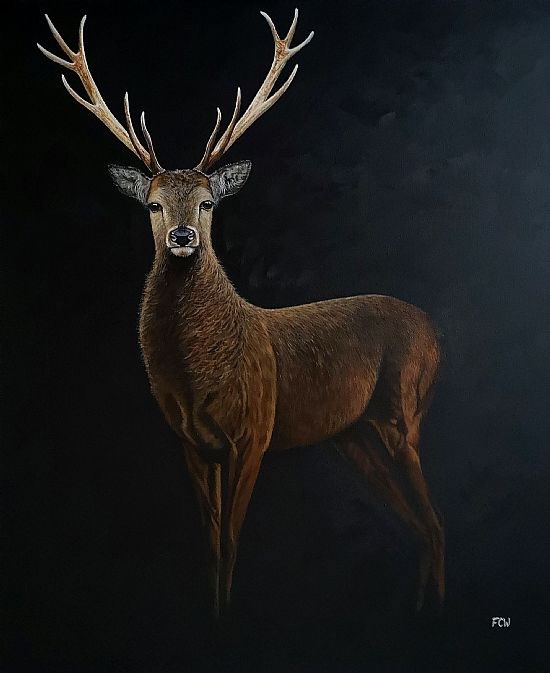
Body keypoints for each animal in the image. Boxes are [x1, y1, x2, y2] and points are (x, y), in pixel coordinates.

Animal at [38, 9, 444, 620]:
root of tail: (437, 333)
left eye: (209, 202)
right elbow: (209, 541)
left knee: (435, 521)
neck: (199, 376)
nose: (183, 236)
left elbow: (231, 540)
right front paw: (214, 613)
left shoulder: (255, 430)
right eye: (153, 204)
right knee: (420, 523)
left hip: (404, 410)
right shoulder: (191, 443)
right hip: (352, 433)